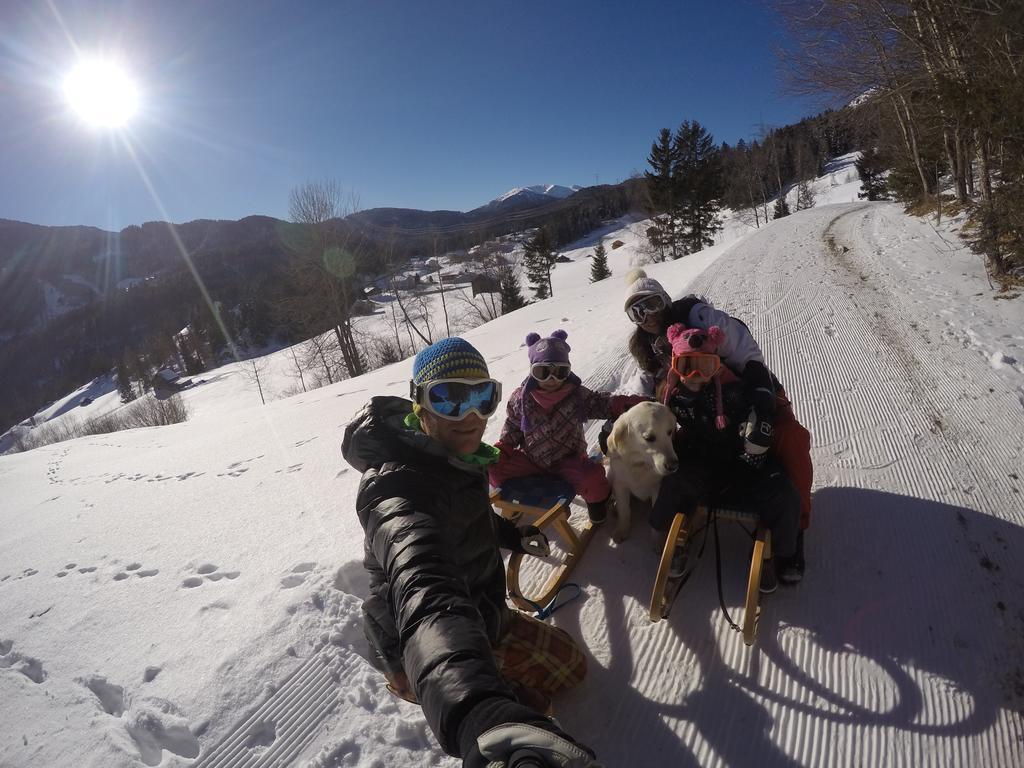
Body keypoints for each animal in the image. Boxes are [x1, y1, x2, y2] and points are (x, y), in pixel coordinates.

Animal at [602, 399, 675, 544]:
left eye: (669, 432)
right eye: (649, 438)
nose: (674, 465)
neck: (639, 465)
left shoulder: (658, 487)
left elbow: (656, 516)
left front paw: (657, 541)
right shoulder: (620, 485)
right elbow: (624, 510)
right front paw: (622, 529)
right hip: (610, 475)